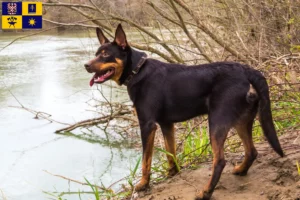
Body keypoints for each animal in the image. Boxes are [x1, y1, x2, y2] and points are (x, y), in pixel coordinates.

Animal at [84, 24, 284, 199]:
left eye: (106, 55)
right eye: (96, 54)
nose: (86, 65)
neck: (137, 70)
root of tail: (247, 70)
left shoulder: (147, 125)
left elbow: (146, 161)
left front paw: (143, 184)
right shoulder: (166, 124)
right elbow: (170, 152)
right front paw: (172, 173)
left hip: (217, 122)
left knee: (220, 161)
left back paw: (206, 192)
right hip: (242, 120)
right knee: (252, 151)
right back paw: (241, 170)